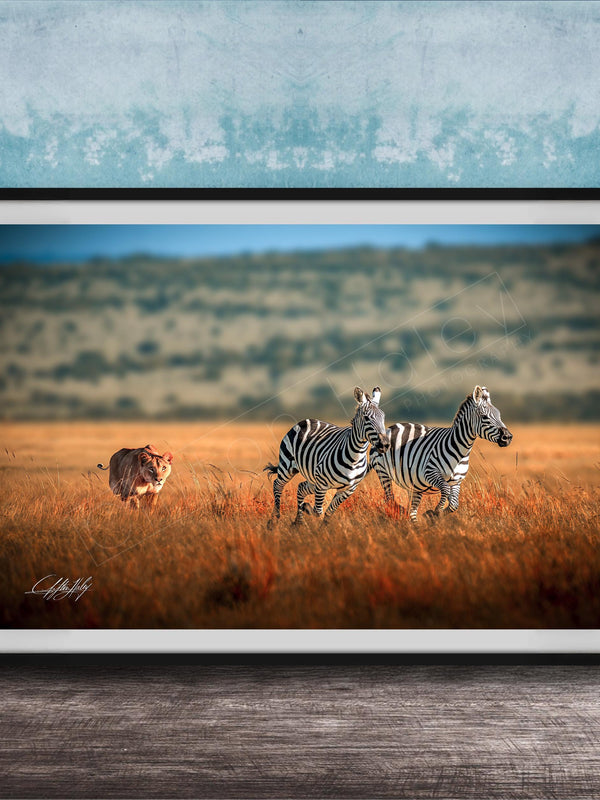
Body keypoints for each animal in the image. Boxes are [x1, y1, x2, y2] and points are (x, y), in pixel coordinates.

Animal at [264, 386, 390, 525]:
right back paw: (274, 520)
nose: (385, 444)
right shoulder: (322, 485)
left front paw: (322, 527)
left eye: (383, 418)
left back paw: (298, 522)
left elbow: (329, 512)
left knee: (301, 487)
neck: (355, 458)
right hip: (288, 466)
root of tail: (306, 420)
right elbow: (318, 511)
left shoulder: (348, 489)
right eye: (367, 418)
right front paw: (308, 511)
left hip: (313, 479)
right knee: (277, 484)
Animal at [369, 385, 512, 522]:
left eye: (499, 416)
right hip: (383, 472)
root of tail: (390, 427)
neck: (461, 451)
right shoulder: (430, 473)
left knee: (412, 510)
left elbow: (454, 504)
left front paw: (434, 514)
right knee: (390, 498)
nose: (507, 437)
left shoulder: (456, 481)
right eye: (484, 417)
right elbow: (445, 491)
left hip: (413, 483)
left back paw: (415, 527)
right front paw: (434, 512)